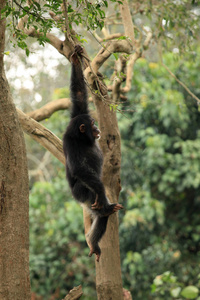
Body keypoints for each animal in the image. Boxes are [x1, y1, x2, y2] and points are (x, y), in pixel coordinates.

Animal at [63, 45, 123, 262]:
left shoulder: (78, 110)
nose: (97, 127)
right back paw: (105, 206)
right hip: (80, 195)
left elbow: (79, 93)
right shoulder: (70, 144)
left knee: (102, 217)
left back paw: (93, 242)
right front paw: (99, 188)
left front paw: (75, 57)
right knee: (91, 192)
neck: (81, 139)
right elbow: (79, 168)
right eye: (92, 123)